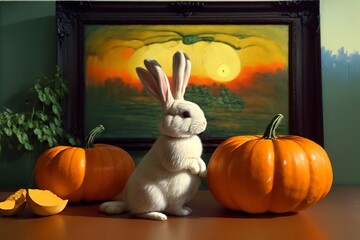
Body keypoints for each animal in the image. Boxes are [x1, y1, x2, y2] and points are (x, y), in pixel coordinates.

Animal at [100, 51, 207, 221]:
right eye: (185, 114)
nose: (204, 123)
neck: (181, 138)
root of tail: (129, 203)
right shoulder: (172, 157)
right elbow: (182, 163)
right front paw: (196, 169)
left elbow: (199, 160)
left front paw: (203, 170)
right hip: (153, 196)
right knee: (142, 212)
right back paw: (161, 216)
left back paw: (186, 210)